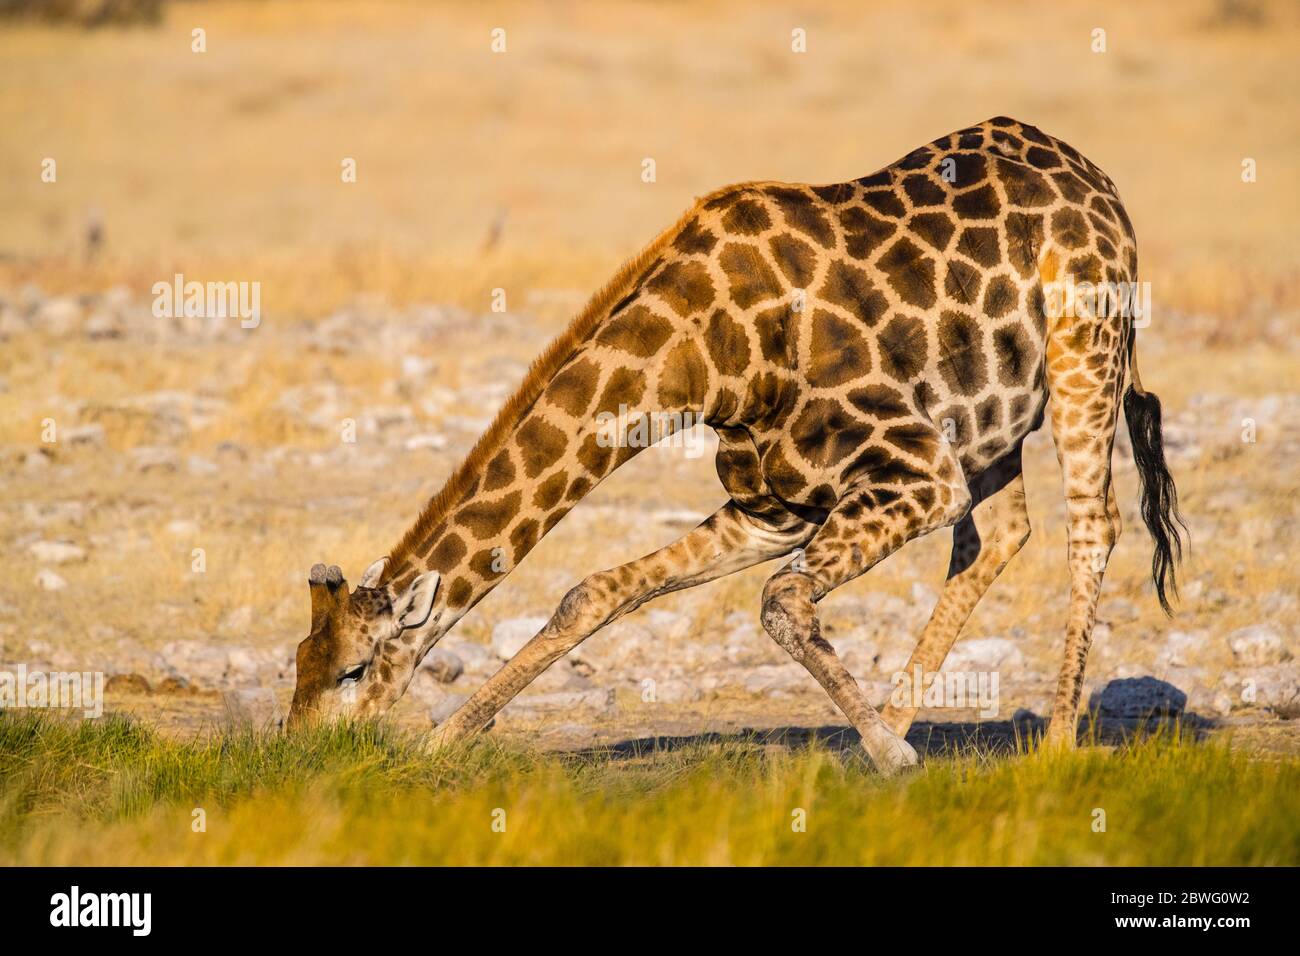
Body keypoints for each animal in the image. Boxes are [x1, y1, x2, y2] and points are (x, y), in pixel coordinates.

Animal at [289, 115, 1185, 775]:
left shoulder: (917, 475)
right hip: (990, 419)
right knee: (1000, 534)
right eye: (293, 665)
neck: (702, 357)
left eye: (352, 671)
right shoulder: (773, 507)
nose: (305, 755)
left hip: (1085, 345)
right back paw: (902, 720)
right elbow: (596, 592)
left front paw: (890, 754)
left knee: (1091, 524)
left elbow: (780, 602)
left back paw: (1056, 745)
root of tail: (1098, 180)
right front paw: (444, 739)